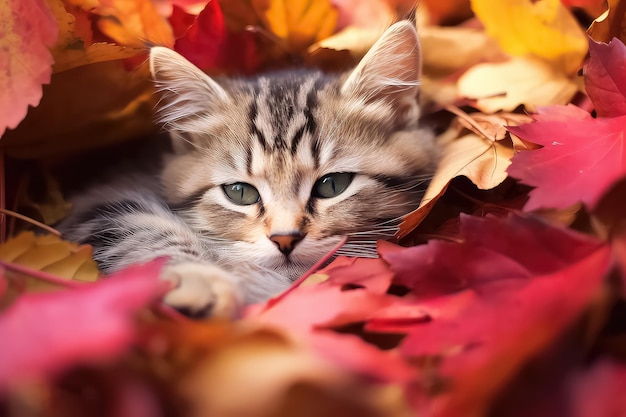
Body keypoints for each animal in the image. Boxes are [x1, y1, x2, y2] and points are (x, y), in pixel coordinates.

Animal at [58, 21, 438, 316]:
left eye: (333, 185)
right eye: (239, 192)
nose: (285, 239)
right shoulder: (103, 198)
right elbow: (141, 231)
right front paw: (198, 280)